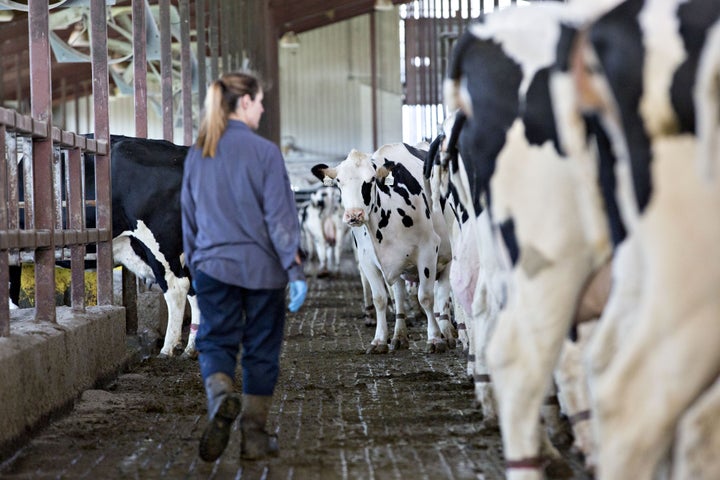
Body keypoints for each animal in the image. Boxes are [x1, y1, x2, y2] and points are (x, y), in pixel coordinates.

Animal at [310, 142, 456, 352]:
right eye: (338, 182)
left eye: (371, 180)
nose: (354, 215)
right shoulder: (367, 261)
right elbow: (380, 299)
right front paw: (379, 340)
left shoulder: (428, 251)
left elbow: (426, 297)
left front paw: (435, 339)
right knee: (399, 297)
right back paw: (399, 336)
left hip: (448, 258)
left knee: (442, 294)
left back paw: (447, 332)